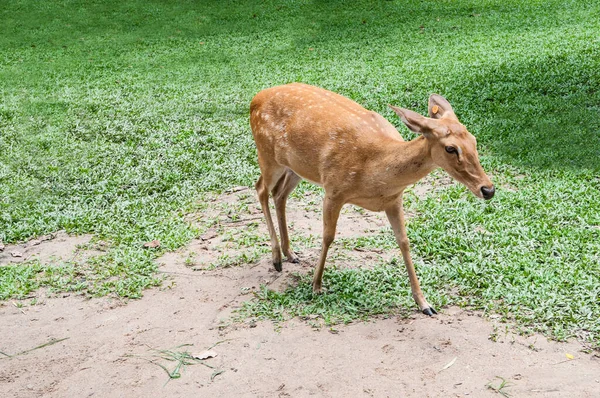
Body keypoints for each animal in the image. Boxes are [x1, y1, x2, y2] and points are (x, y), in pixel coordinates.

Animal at [247, 82, 492, 316]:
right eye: (451, 148)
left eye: (474, 140)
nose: (488, 189)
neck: (375, 169)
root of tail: (255, 98)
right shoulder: (333, 189)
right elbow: (328, 236)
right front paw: (316, 285)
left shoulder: (394, 200)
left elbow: (404, 242)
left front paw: (424, 303)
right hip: (266, 154)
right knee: (261, 189)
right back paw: (277, 258)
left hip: (296, 167)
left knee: (280, 194)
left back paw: (290, 253)